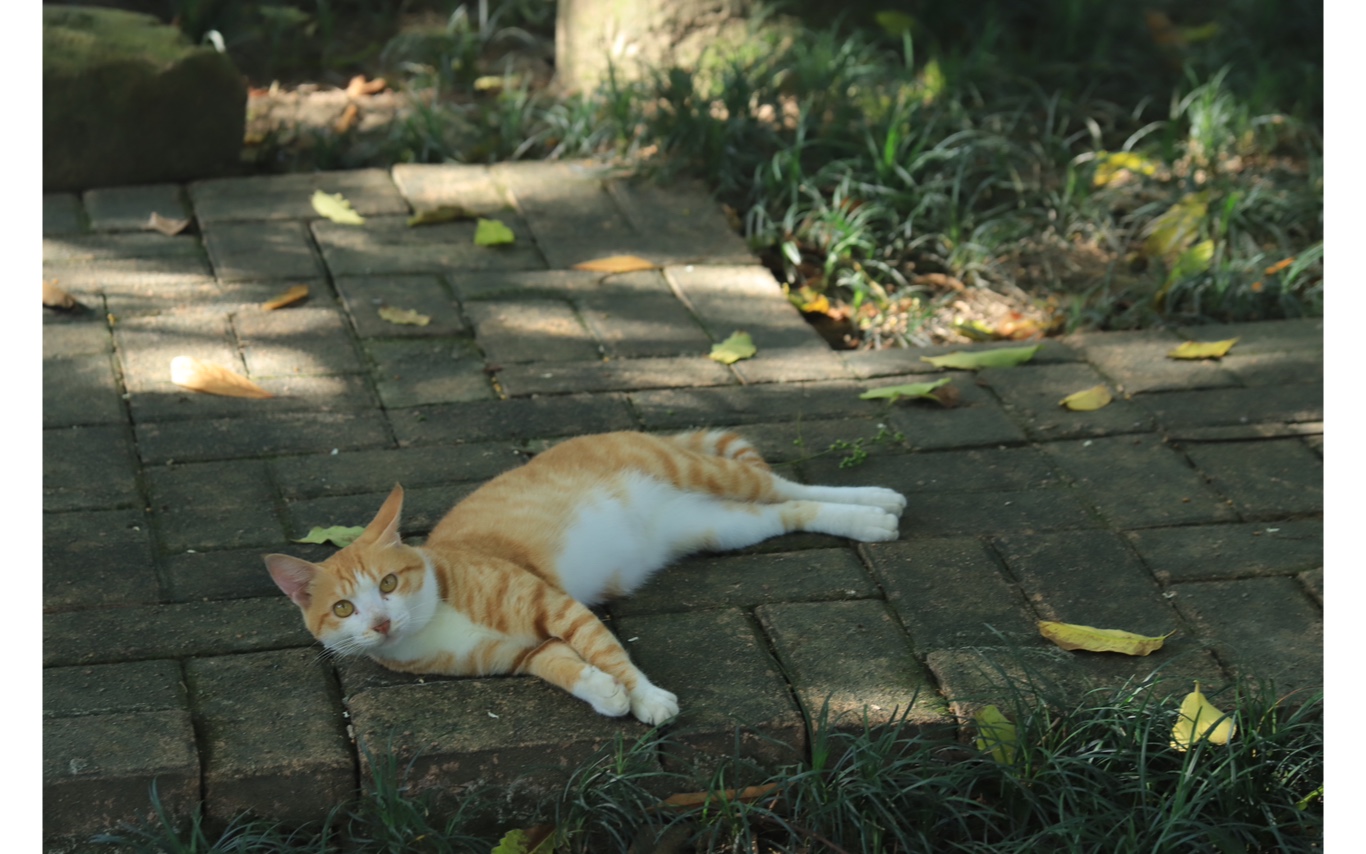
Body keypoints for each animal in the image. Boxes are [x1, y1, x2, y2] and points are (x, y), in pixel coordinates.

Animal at [266, 429, 907, 721]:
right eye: (344, 608)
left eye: (389, 584)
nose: (378, 622)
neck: (436, 616)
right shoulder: (524, 654)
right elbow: (566, 667)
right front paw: (603, 693)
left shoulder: (554, 605)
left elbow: (609, 651)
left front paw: (646, 698)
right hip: (721, 526)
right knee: (787, 511)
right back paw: (866, 519)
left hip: (706, 475)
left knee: (785, 484)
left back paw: (878, 500)